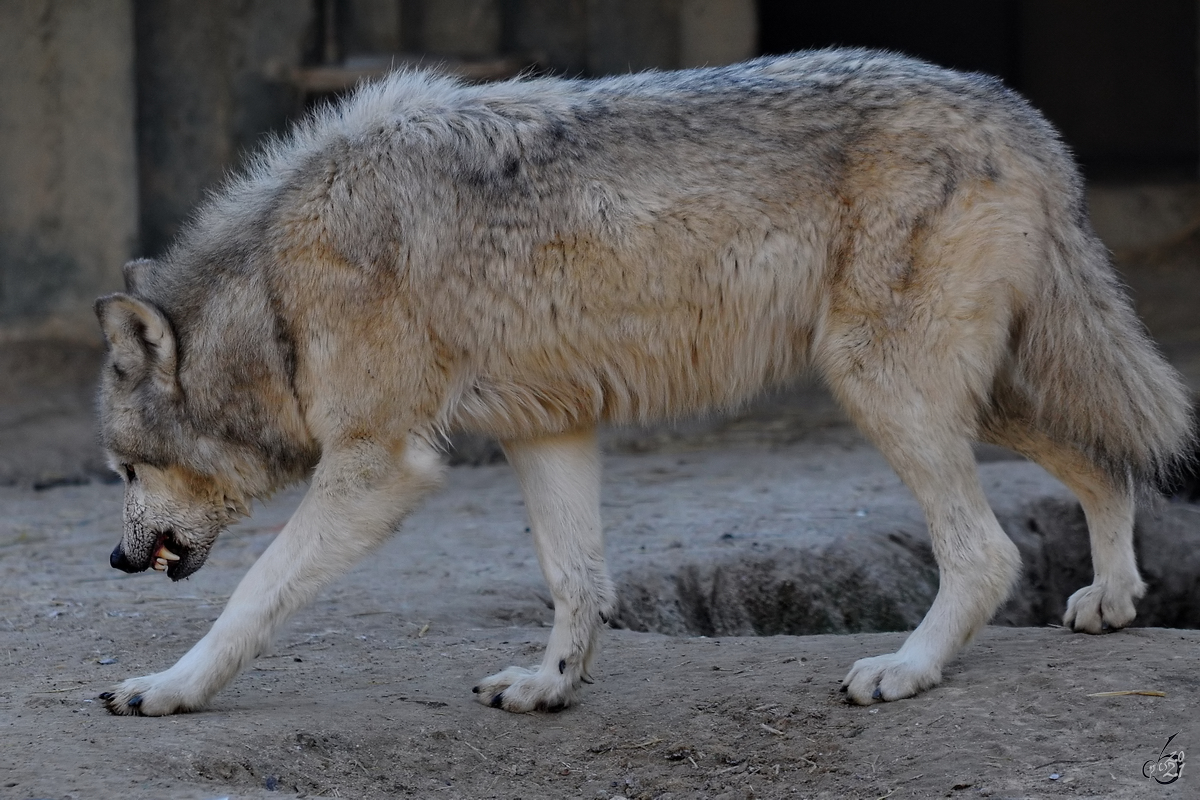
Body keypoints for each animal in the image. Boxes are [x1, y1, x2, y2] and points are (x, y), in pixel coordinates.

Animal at [93, 48, 1190, 714]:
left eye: (122, 470)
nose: (112, 560)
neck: (276, 288)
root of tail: (1019, 112)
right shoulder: (549, 430)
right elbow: (577, 580)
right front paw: (549, 684)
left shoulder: (381, 467)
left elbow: (255, 592)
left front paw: (170, 685)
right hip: (979, 394)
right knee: (1108, 464)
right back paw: (1112, 596)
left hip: (885, 390)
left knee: (988, 550)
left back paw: (908, 669)